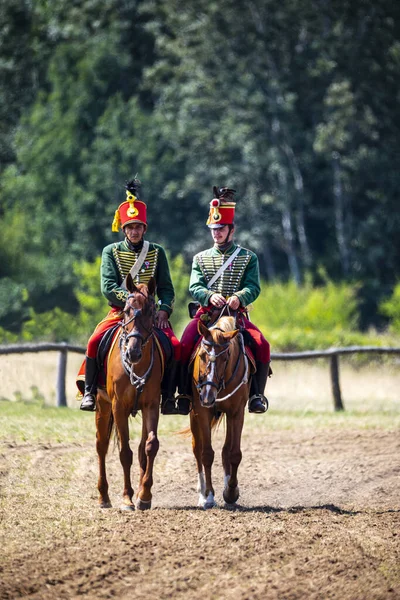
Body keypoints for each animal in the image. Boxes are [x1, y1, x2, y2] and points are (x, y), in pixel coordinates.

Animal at [94, 274, 162, 508]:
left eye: (151, 310)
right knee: (101, 446)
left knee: (141, 448)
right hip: (102, 405)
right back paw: (103, 497)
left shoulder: (152, 406)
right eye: (126, 310)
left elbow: (150, 446)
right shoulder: (118, 407)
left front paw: (145, 495)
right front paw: (127, 497)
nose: (133, 352)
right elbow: (125, 452)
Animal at [191, 316, 250, 508]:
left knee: (226, 450)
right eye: (202, 355)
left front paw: (231, 492)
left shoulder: (237, 412)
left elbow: (234, 454)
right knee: (197, 449)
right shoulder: (202, 412)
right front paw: (209, 496)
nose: (208, 396)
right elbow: (207, 454)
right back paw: (202, 494)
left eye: (225, 357)